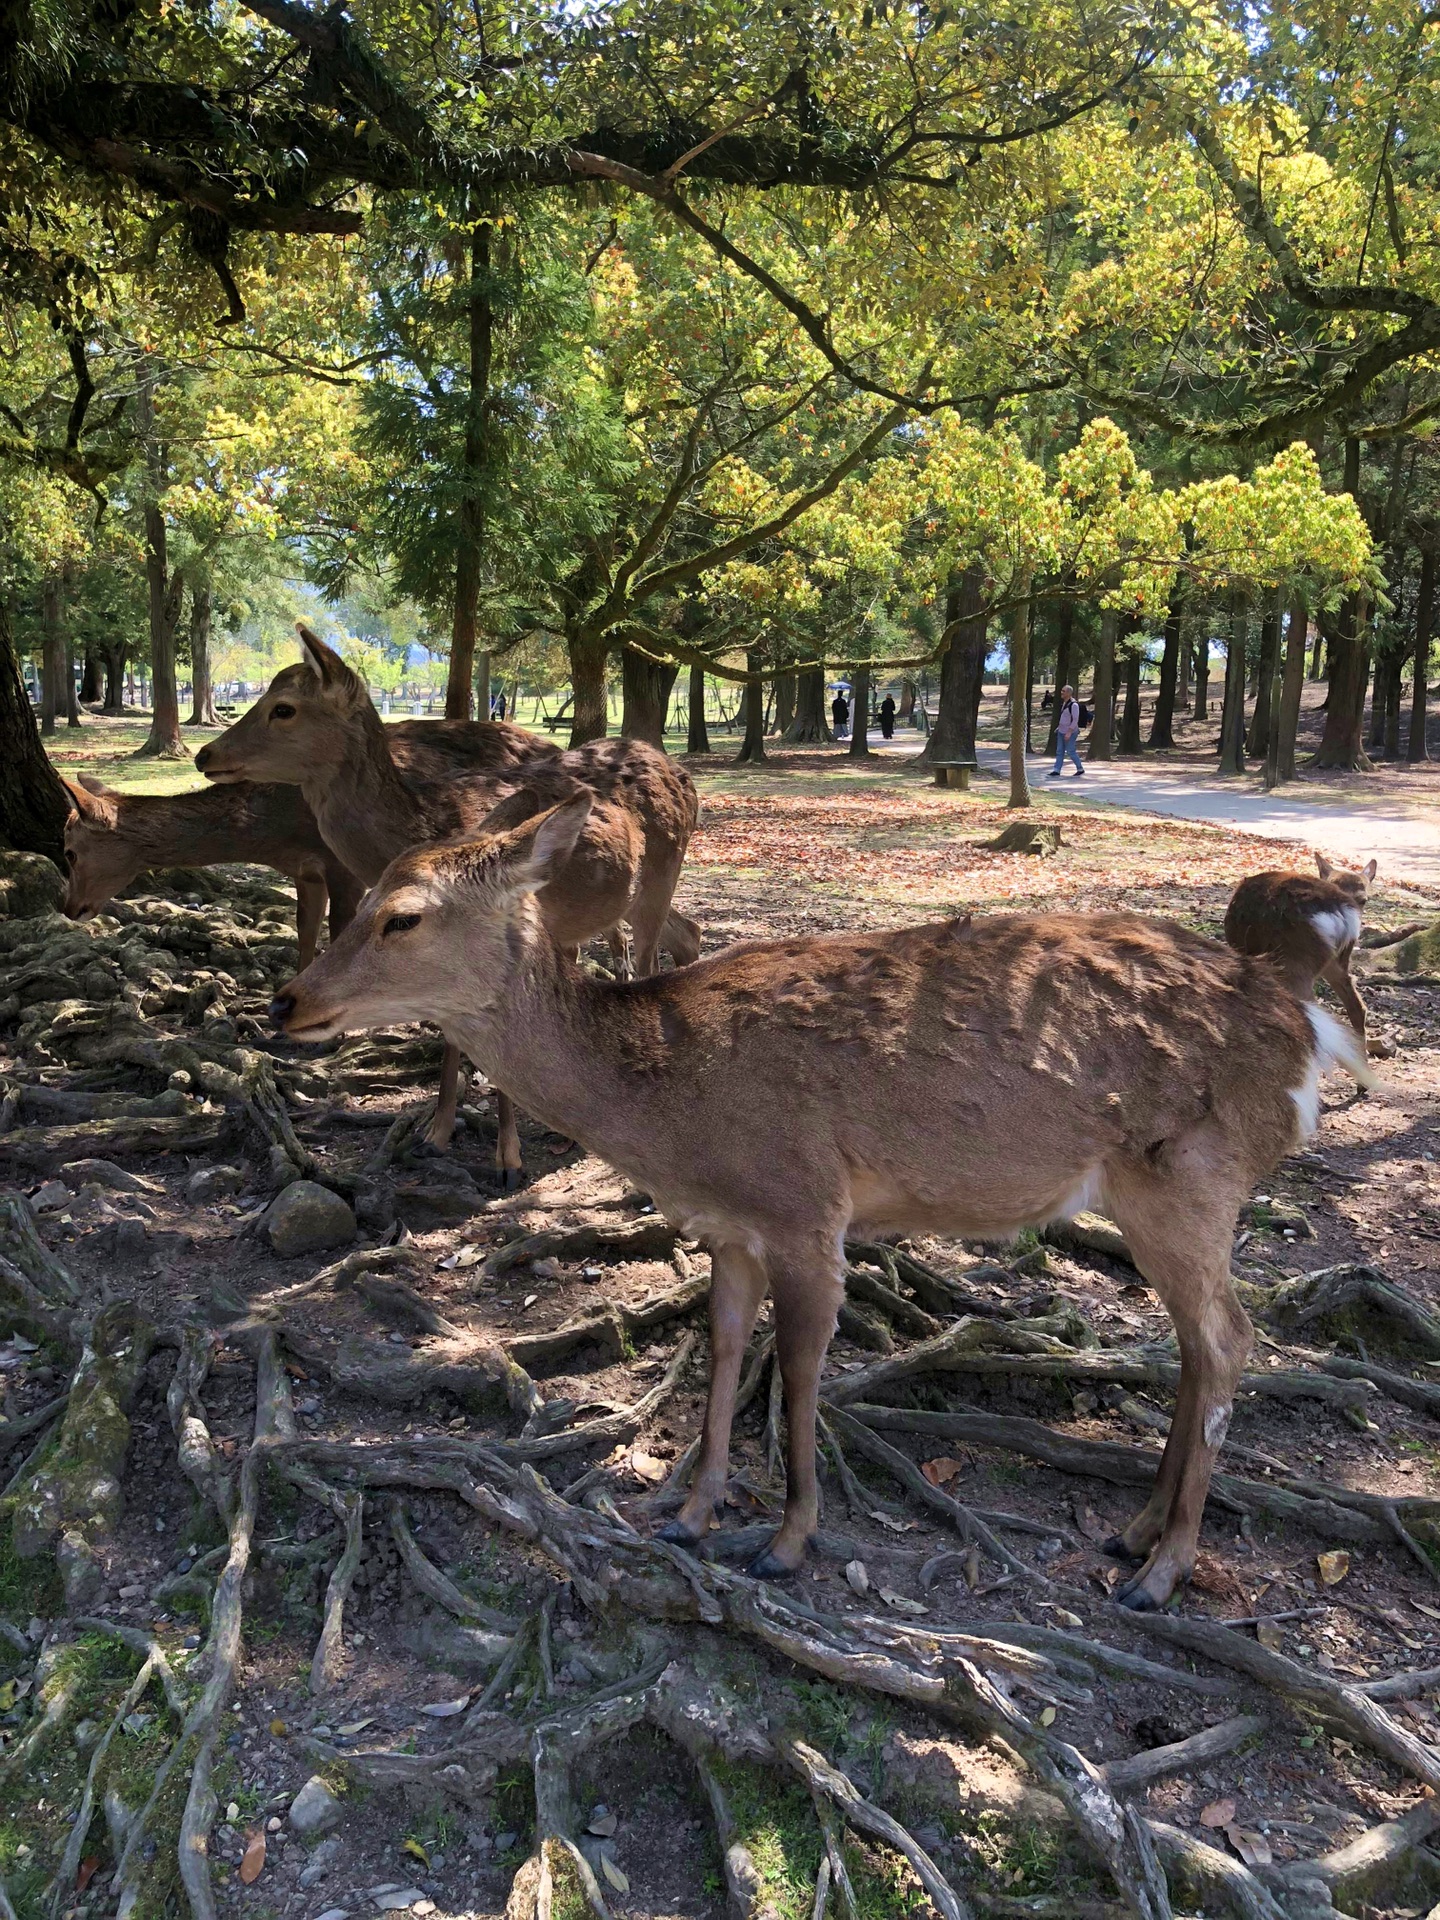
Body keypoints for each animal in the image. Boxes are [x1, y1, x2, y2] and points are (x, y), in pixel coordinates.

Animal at [197, 622, 706, 1175]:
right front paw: (435, 1132)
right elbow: (453, 1032)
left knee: (651, 958)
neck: (431, 821)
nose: (206, 754)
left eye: (284, 707)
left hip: (661, 876)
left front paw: (507, 1157)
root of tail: (684, 775)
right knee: (682, 934)